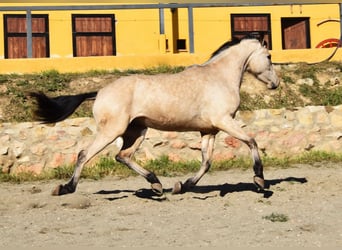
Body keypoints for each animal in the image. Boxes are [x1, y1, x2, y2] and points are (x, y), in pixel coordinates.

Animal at [29, 37, 280, 197]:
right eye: (268, 56)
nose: (276, 84)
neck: (219, 77)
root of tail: (99, 92)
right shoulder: (224, 121)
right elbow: (251, 141)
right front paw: (260, 181)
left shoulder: (209, 130)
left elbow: (206, 162)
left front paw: (182, 186)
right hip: (112, 131)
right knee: (84, 154)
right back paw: (65, 188)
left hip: (137, 131)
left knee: (123, 156)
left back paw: (157, 185)